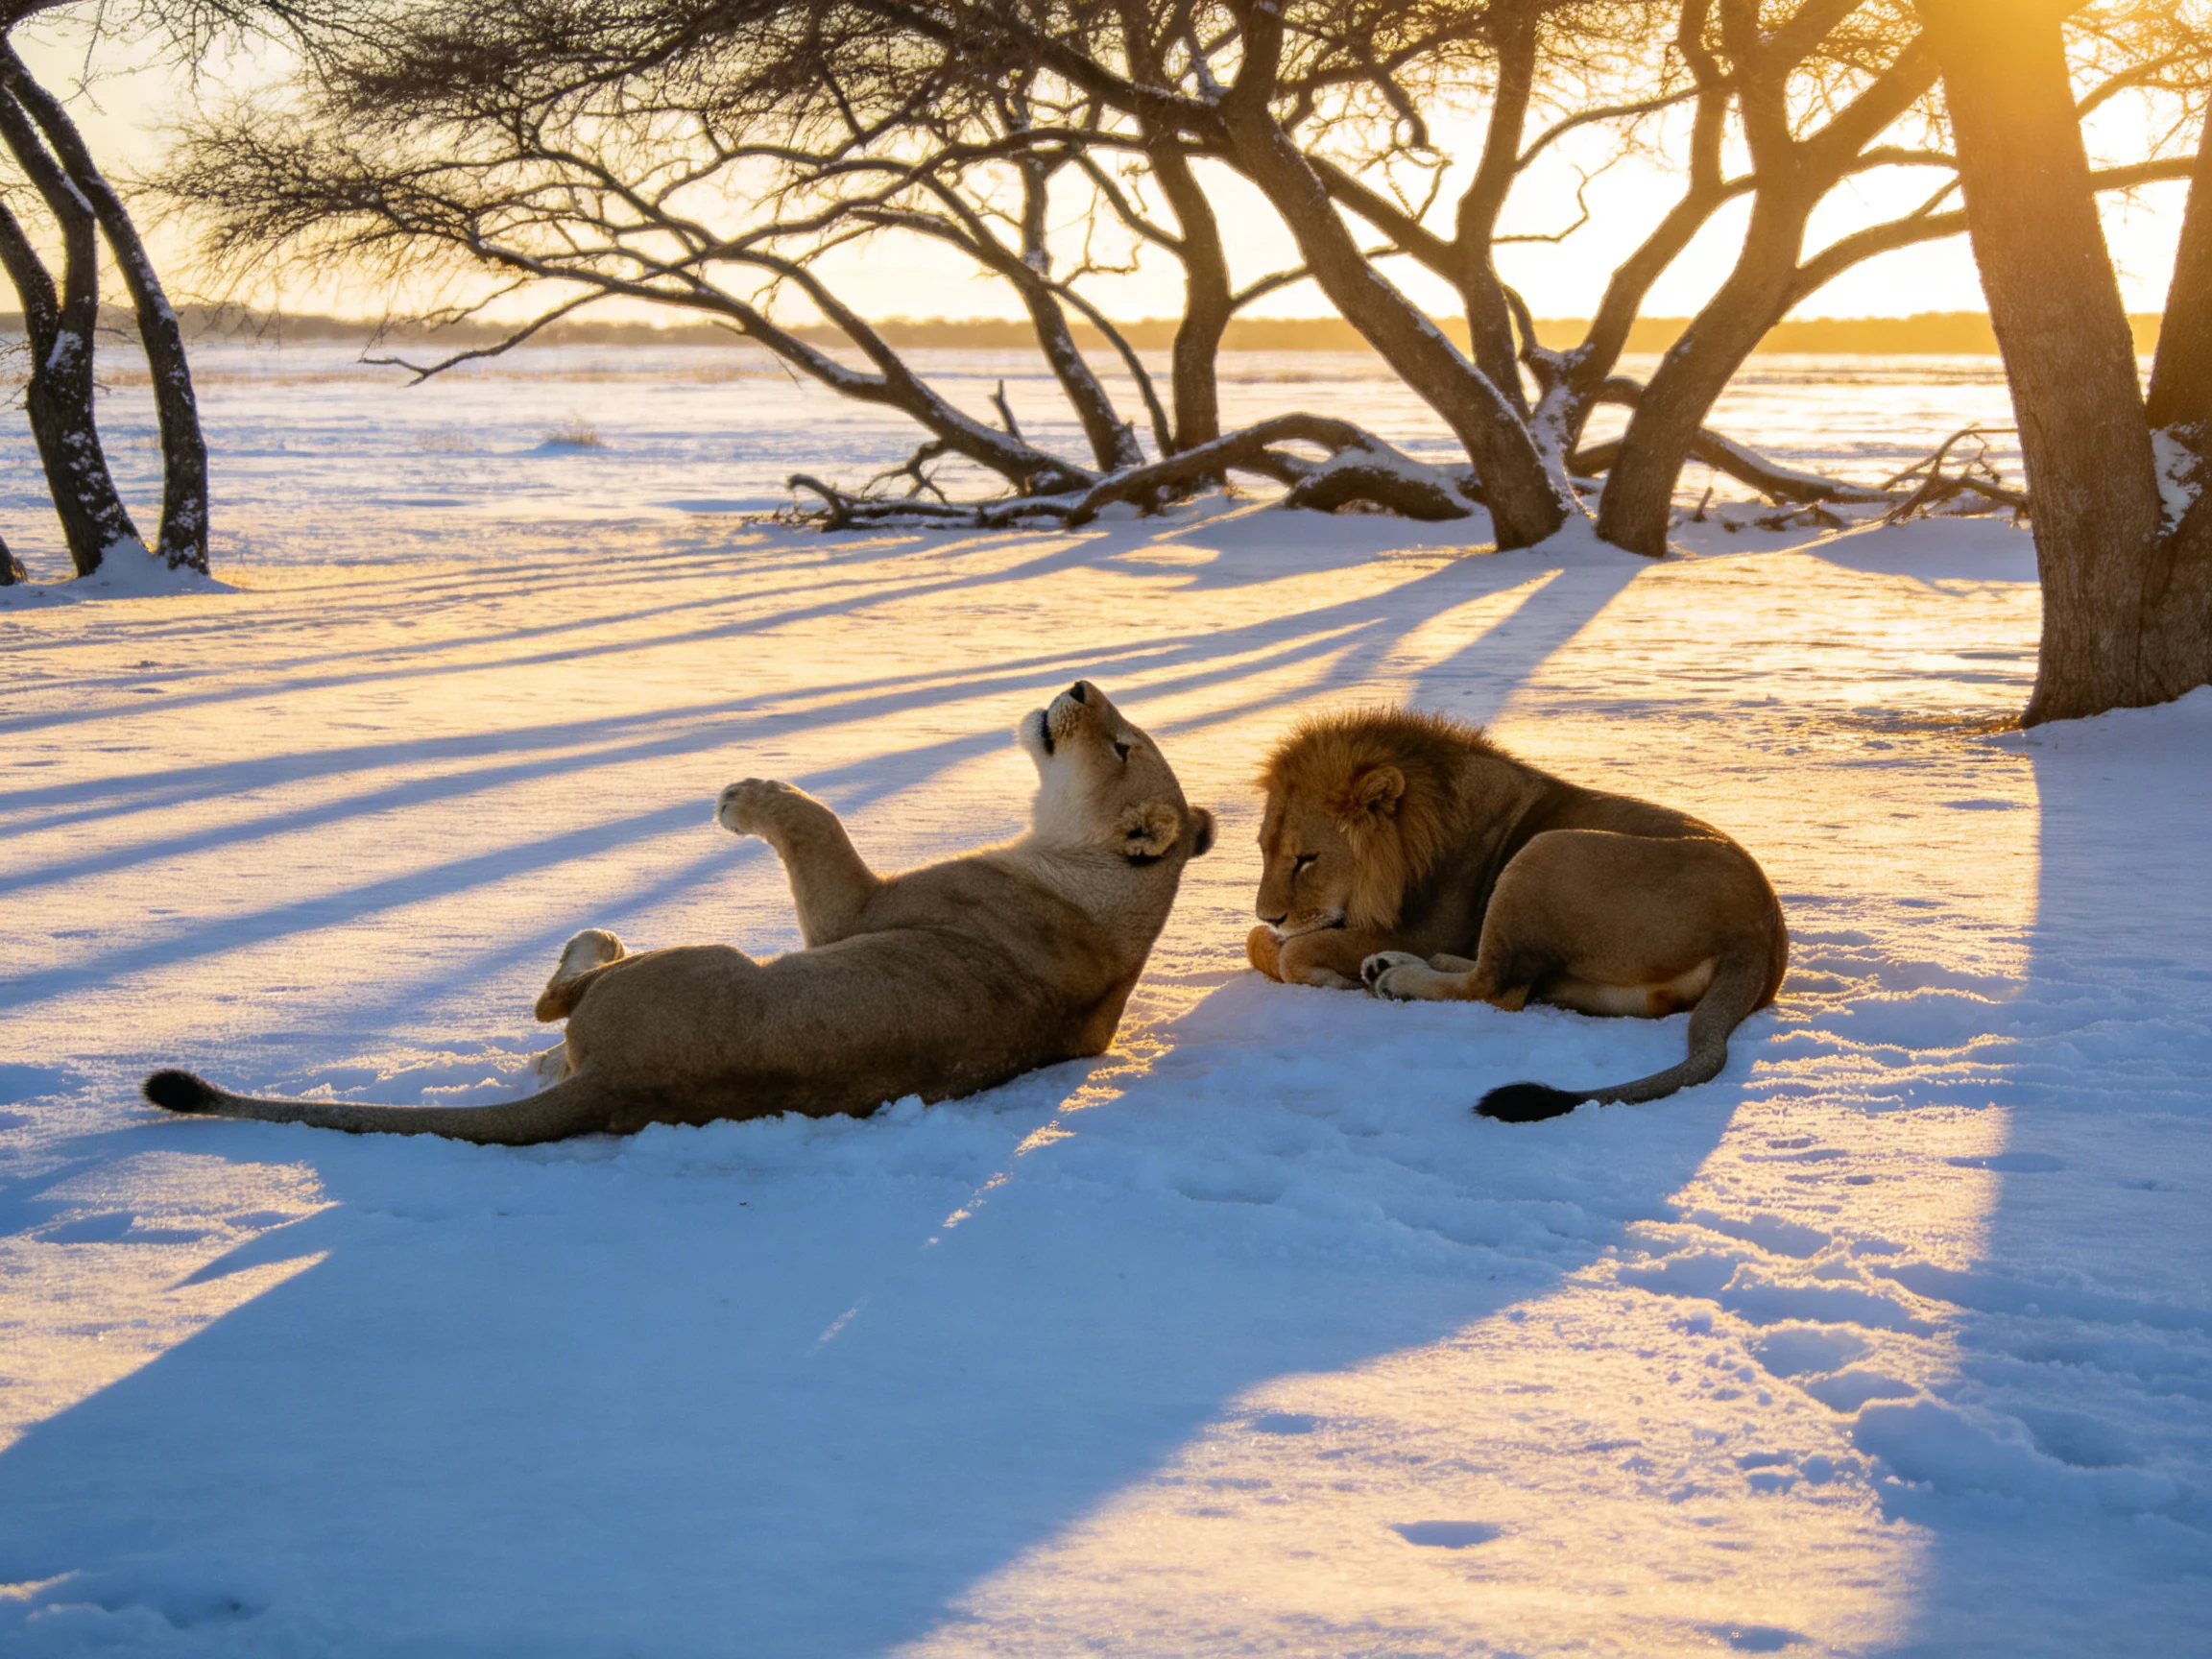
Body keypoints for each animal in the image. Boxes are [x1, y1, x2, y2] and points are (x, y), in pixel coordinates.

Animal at [143, 682, 1214, 1144]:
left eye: (1121, 744)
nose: (1078, 682)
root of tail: (619, 1084)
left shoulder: (854, 909)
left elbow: (816, 823)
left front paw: (745, 796)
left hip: (716, 954)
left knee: (556, 1000)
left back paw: (595, 942)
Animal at [1245, 708, 1787, 1121]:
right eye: (1264, 851)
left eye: (1306, 859)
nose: (1270, 914)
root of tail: (1757, 936)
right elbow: (1259, 943)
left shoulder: (1430, 928)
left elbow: (1292, 952)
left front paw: (1323, 973)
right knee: (1514, 979)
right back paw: (1391, 965)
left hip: (1544, 851)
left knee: (1495, 989)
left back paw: (1393, 976)